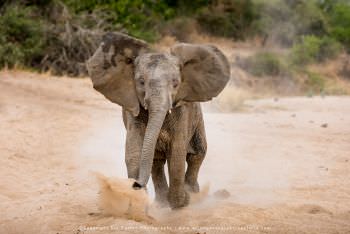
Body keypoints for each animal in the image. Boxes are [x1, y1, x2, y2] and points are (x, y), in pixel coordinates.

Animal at [86, 31, 231, 208]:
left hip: (197, 119)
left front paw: (183, 200)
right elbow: (134, 153)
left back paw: (193, 194)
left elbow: (176, 156)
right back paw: (162, 202)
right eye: (141, 82)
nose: (136, 184)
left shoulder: (182, 112)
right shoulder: (133, 112)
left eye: (176, 83)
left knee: (197, 153)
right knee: (156, 161)